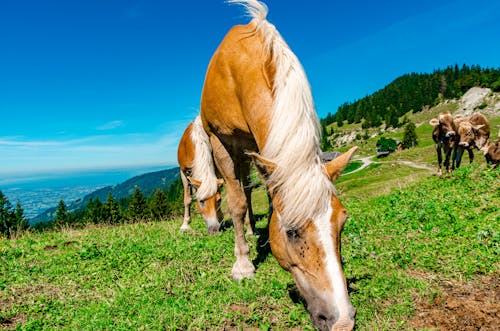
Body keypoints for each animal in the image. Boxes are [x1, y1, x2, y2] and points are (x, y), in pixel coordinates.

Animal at [198, 1, 356, 330]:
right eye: (292, 232)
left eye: (343, 222)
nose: (342, 321)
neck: (240, 69)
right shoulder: (221, 142)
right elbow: (235, 203)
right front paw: (243, 265)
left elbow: (269, 198)